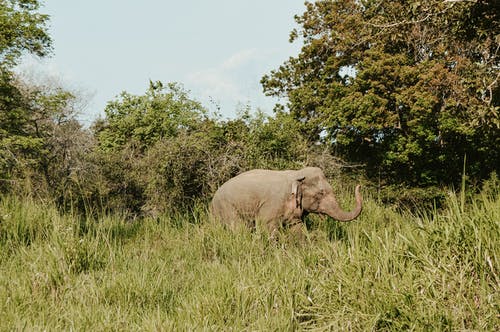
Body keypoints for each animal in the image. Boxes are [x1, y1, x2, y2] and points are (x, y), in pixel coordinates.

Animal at [211, 167, 364, 237]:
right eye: (321, 193)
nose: (359, 185)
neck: (297, 174)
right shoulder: (272, 204)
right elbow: (266, 225)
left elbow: (296, 227)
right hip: (226, 208)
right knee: (237, 228)